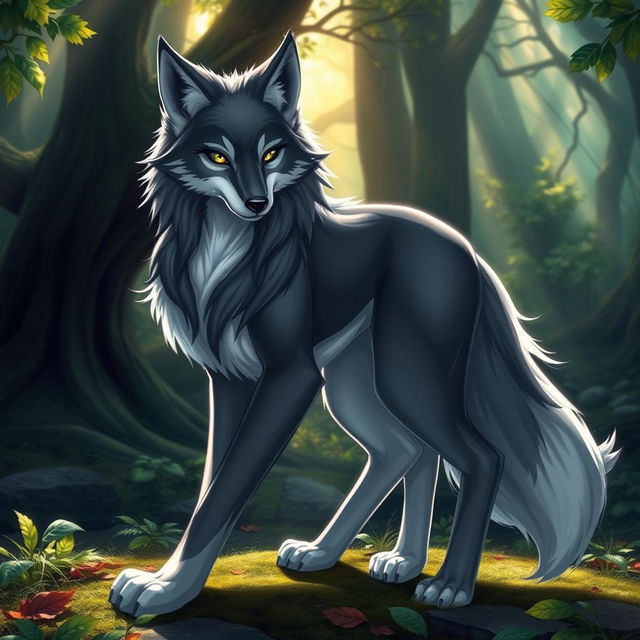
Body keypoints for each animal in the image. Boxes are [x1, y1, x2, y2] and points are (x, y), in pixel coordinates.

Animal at [109, 33, 619, 617]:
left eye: (271, 152)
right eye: (217, 155)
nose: (258, 203)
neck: (226, 250)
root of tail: (462, 246)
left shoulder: (289, 376)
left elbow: (224, 495)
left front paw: (165, 591)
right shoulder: (230, 381)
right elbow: (212, 488)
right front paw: (173, 582)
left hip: (400, 374)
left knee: (480, 457)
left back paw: (449, 585)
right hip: (356, 385)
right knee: (409, 451)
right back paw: (370, 557)